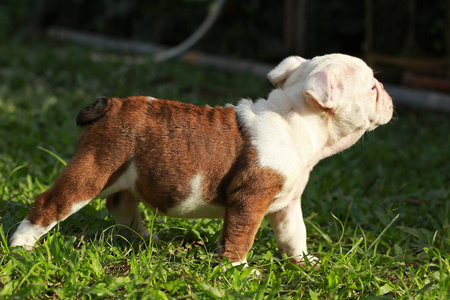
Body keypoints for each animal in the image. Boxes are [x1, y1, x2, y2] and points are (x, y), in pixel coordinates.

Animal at [8, 53, 392, 268]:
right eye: (373, 88)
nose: (387, 94)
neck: (296, 120)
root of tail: (110, 105)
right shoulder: (249, 199)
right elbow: (241, 235)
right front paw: (236, 269)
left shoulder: (286, 204)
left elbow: (294, 234)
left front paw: (306, 263)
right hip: (93, 169)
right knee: (51, 204)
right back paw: (20, 246)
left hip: (123, 175)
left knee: (122, 207)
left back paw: (147, 243)